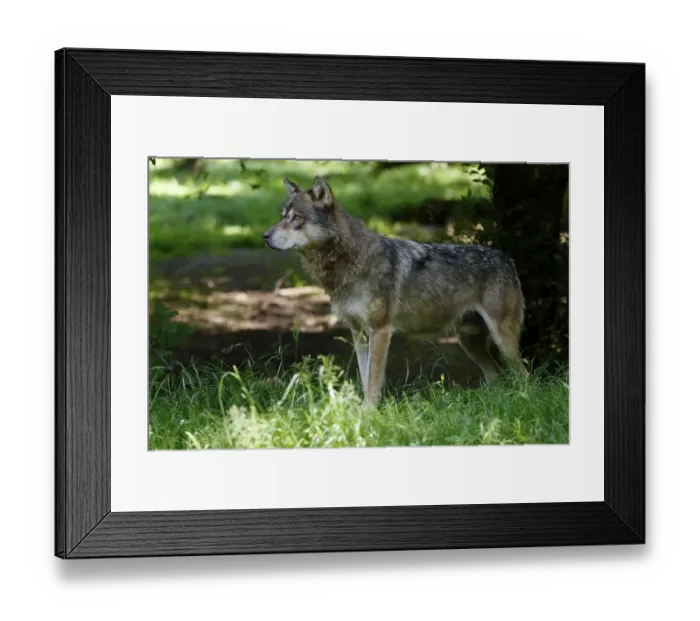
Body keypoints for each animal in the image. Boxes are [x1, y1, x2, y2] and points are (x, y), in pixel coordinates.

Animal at [263, 175, 527, 408]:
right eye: (281, 217)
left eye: (296, 218)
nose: (265, 236)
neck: (348, 264)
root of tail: (507, 257)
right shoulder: (358, 334)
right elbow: (364, 377)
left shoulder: (380, 331)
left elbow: (373, 381)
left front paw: (368, 414)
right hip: (469, 343)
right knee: (497, 375)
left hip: (501, 339)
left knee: (524, 375)